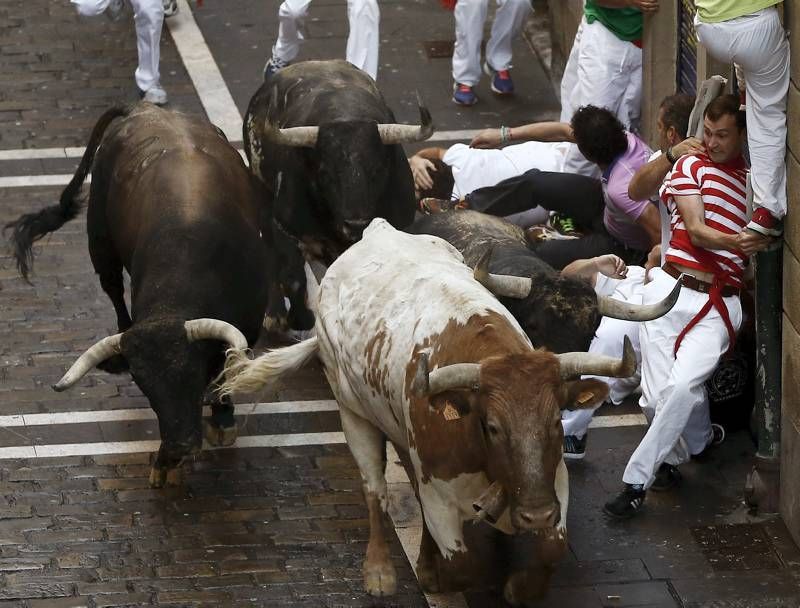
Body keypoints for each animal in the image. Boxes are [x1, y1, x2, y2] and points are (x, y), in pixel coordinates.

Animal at [222, 218, 636, 604]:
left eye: (554, 421)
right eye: (492, 426)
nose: (535, 517)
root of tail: (378, 229)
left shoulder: (551, 479)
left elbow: (552, 548)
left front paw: (517, 586)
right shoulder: (439, 494)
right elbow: (462, 566)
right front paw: (434, 574)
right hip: (352, 412)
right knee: (374, 489)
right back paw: (380, 570)